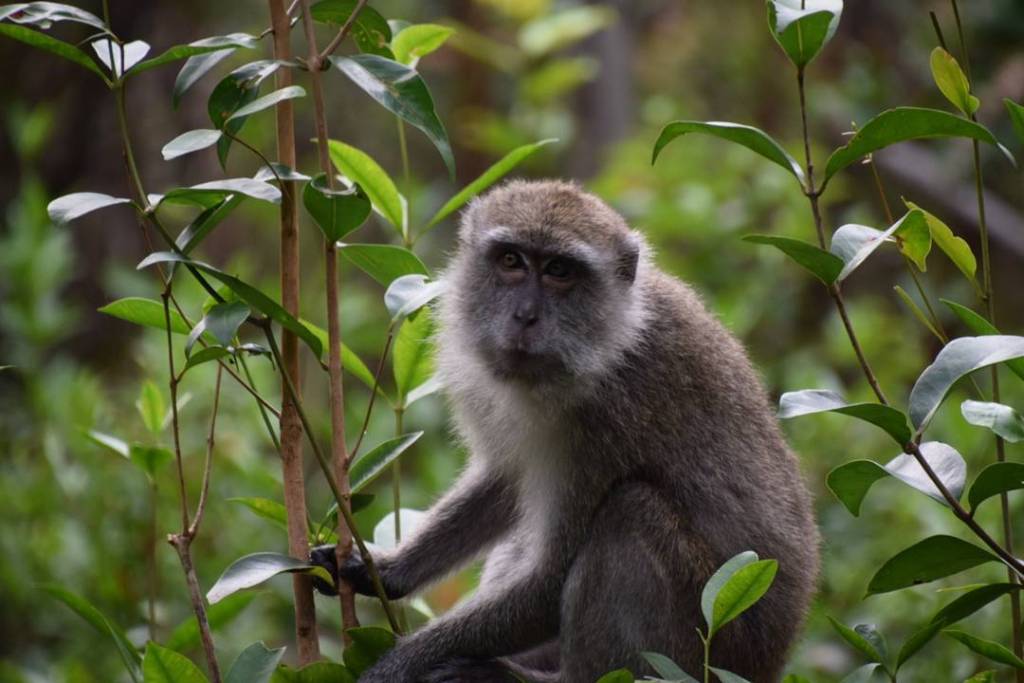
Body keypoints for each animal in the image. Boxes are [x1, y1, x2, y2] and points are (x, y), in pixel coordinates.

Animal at [312, 179, 820, 683]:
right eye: (511, 261)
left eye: (559, 271)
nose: (525, 315)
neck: (605, 344)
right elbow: (504, 484)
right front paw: (383, 571)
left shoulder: (606, 421)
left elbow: (547, 581)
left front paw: (394, 668)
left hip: (700, 649)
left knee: (630, 511)